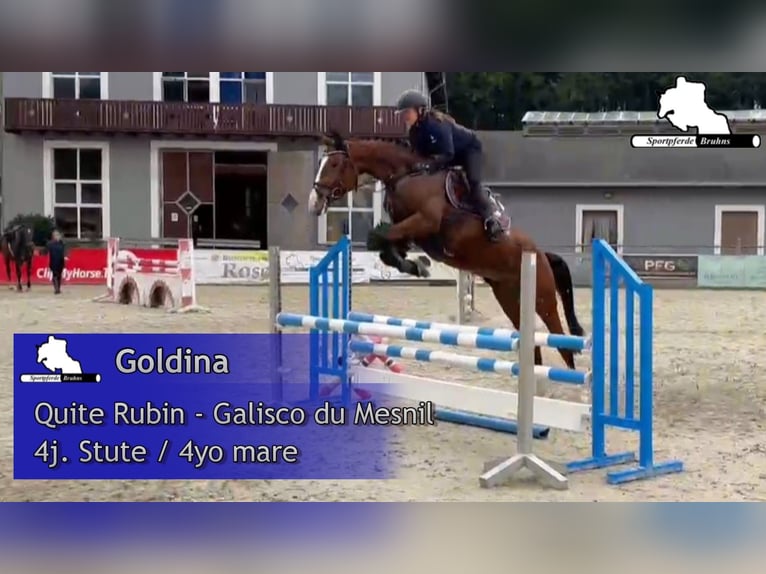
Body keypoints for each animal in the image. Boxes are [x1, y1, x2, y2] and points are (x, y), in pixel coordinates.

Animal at [309, 132, 585, 370]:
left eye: (334, 164)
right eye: (321, 163)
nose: (314, 202)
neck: (406, 176)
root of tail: (541, 254)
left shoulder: (425, 223)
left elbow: (379, 238)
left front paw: (417, 266)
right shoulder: (411, 232)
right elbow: (385, 247)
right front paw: (415, 266)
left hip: (543, 298)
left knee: (562, 341)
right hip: (508, 297)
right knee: (533, 346)